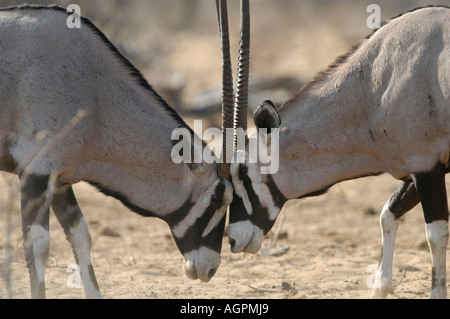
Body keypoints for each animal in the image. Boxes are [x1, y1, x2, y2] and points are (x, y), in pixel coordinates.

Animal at [0, 4, 243, 300]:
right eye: (218, 198)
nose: (209, 268)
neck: (95, 93)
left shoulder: (58, 178)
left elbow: (80, 234)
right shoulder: (36, 170)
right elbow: (38, 244)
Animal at [227, 5, 448, 300]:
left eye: (242, 171)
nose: (232, 239)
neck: (375, 84)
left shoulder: (427, 167)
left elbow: (436, 235)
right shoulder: (416, 168)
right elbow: (388, 213)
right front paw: (380, 286)